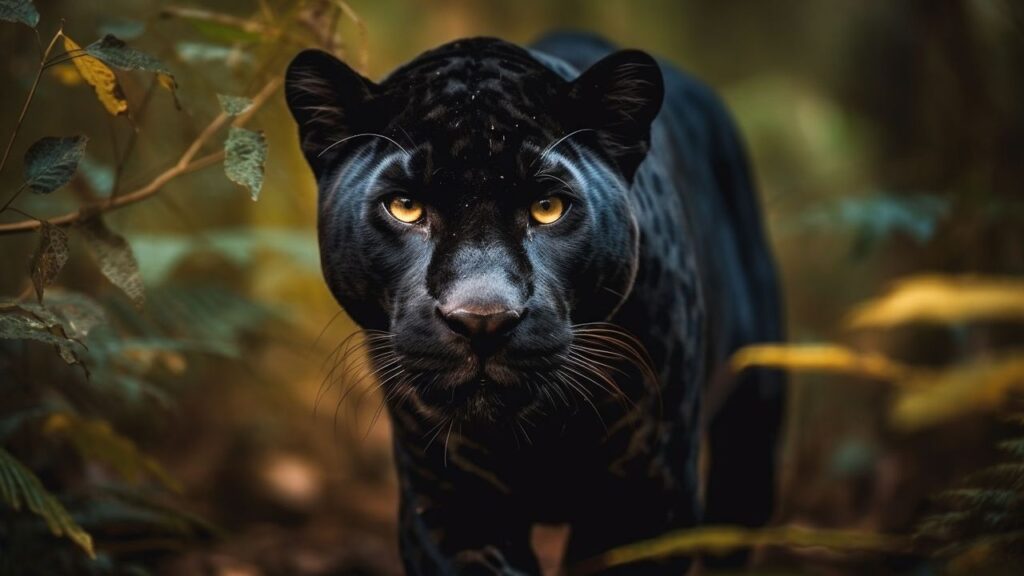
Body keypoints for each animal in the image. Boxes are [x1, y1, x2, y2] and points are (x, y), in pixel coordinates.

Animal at [285, 32, 786, 575]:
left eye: (548, 208)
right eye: (405, 206)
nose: (482, 321)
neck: (537, 434)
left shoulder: (648, 494)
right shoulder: (446, 499)